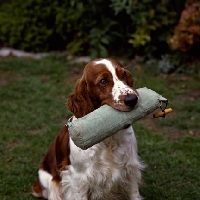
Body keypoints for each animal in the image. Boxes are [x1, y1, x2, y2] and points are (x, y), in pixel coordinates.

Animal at [32, 58, 144, 200]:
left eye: (124, 74)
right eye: (103, 81)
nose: (132, 99)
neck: (108, 138)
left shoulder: (130, 168)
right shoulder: (78, 179)